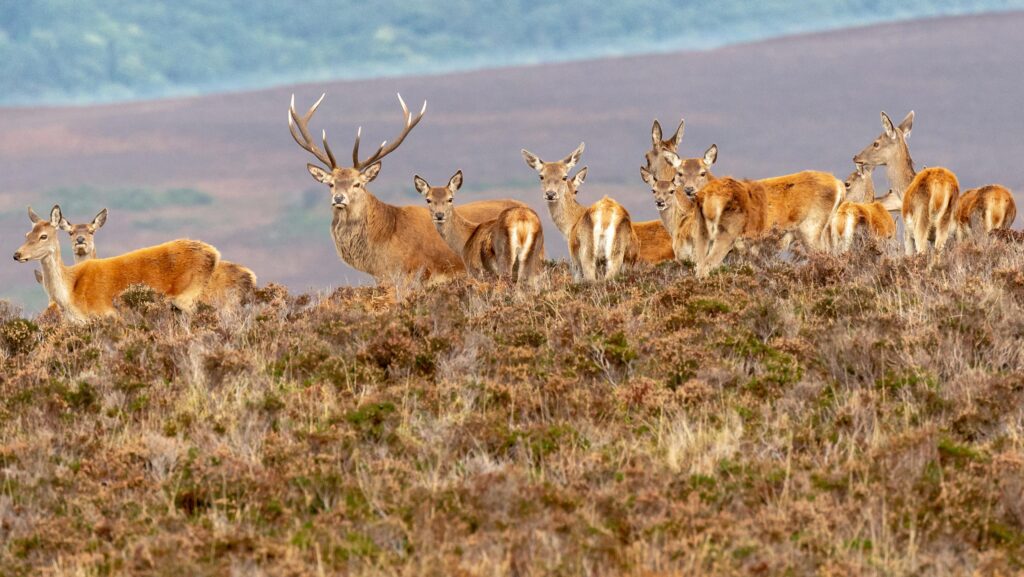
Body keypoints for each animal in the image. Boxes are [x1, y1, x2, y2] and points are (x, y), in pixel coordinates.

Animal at [14, 206, 219, 321]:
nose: (17, 254)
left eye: (43, 236)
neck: (70, 294)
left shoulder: (106, 315)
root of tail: (214, 253)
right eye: (27, 234)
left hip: (189, 298)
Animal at [415, 171, 545, 288]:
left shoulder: (475, 270)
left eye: (450, 199)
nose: (439, 215)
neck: (466, 240)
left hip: (505, 256)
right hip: (535, 258)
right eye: (428, 199)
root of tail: (523, 220)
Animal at [520, 144, 638, 281]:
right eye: (541, 176)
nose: (550, 194)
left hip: (587, 251)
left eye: (564, 176)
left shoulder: (574, 260)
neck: (570, 226)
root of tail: (605, 218)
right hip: (619, 253)